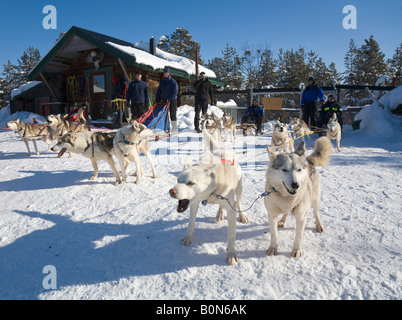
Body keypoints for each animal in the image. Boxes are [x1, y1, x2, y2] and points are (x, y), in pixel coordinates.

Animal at [167, 120, 248, 264]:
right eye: (178, 180)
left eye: (190, 183)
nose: (172, 191)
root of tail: (220, 149)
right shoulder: (194, 203)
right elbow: (191, 222)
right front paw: (188, 236)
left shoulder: (231, 210)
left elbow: (231, 235)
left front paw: (231, 253)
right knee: (221, 205)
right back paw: (219, 214)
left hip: (239, 190)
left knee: (238, 202)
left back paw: (242, 215)